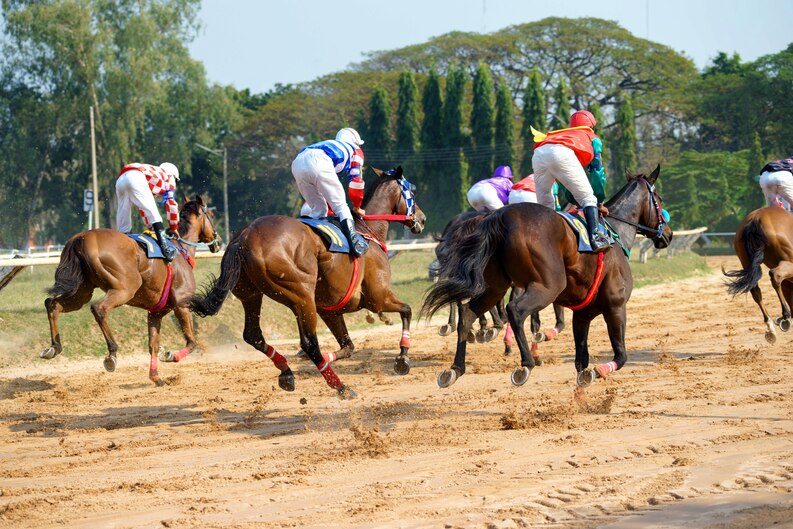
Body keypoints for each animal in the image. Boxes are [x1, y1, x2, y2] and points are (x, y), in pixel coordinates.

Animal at [40, 195, 220, 384]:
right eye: (211, 215)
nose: (218, 241)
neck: (180, 249)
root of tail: (83, 237)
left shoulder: (156, 312)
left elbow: (153, 345)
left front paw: (156, 377)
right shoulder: (182, 305)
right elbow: (191, 342)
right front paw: (171, 355)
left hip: (82, 292)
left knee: (53, 304)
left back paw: (54, 347)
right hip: (125, 288)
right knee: (98, 308)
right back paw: (112, 353)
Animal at [189, 167, 426, 398]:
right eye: (412, 193)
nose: (422, 219)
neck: (367, 231)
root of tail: (244, 236)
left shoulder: (330, 311)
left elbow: (348, 346)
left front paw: (323, 360)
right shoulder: (378, 298)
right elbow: (407, 311)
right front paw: (402, 359)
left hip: (252, 294)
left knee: (254, 335)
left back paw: (287, 371)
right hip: (301, 295)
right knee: (310, 342)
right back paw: (341, 387)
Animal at [418, 166, 672, 396]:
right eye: (659, 199)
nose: (667, 234)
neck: (615, 232)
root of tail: (498, 216)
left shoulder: (583, 313)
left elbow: (581, 361)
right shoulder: (615, 307)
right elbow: (620, 355)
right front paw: (595, 371)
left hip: (494, 286)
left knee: (467, 312)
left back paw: (455, 368)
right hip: (548, 286)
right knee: (514, 310)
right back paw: (525, 364)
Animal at [724, 204, 793, 344]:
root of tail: (756, 218)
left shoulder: (788, 285)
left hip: (746, 262)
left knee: (755, 290)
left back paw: (770, 328)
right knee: (775, 275)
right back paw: (785, 316)